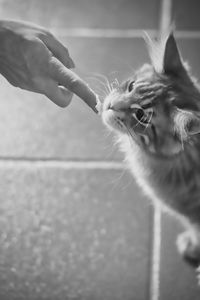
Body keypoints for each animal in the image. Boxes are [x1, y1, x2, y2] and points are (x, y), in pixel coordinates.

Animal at [101, 33, 200, 270]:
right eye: (131, 86)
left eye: (141, 116)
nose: (110, 105)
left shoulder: (193, 215)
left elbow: (196, 233)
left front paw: (191, 247)